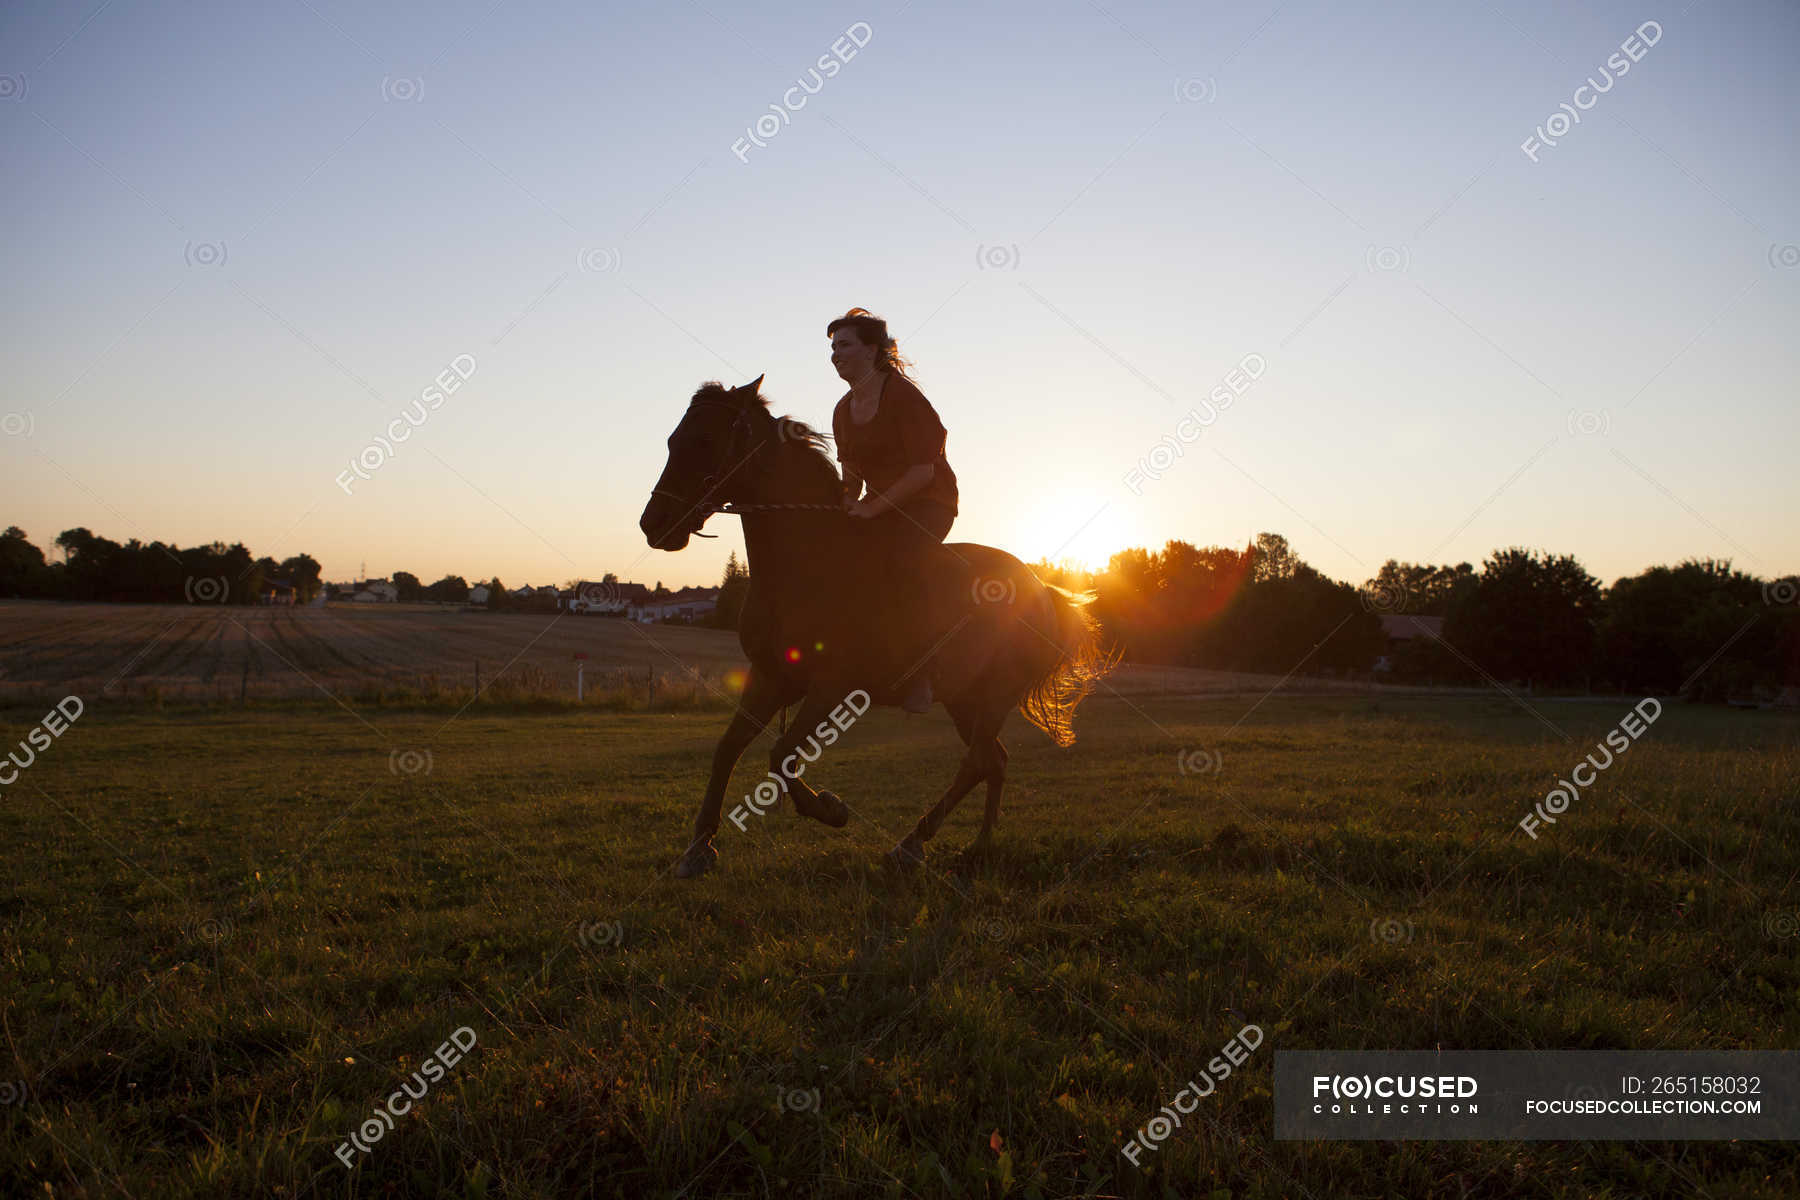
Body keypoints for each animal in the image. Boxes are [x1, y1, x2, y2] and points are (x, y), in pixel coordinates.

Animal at [633, 376, 1108, 881]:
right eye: (673, 441)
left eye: (705, 441)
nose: (654, 524)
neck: (807, 562)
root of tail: (1045, 592)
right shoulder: (770, 678)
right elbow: (730, 749)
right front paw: (698, 847)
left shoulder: (832, 686)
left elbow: (782, 753)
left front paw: (830, 808)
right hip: (965, 699)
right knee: (992, 761)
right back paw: (978, 844)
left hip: (995, 694)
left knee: (979, 760)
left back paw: (912, 846)